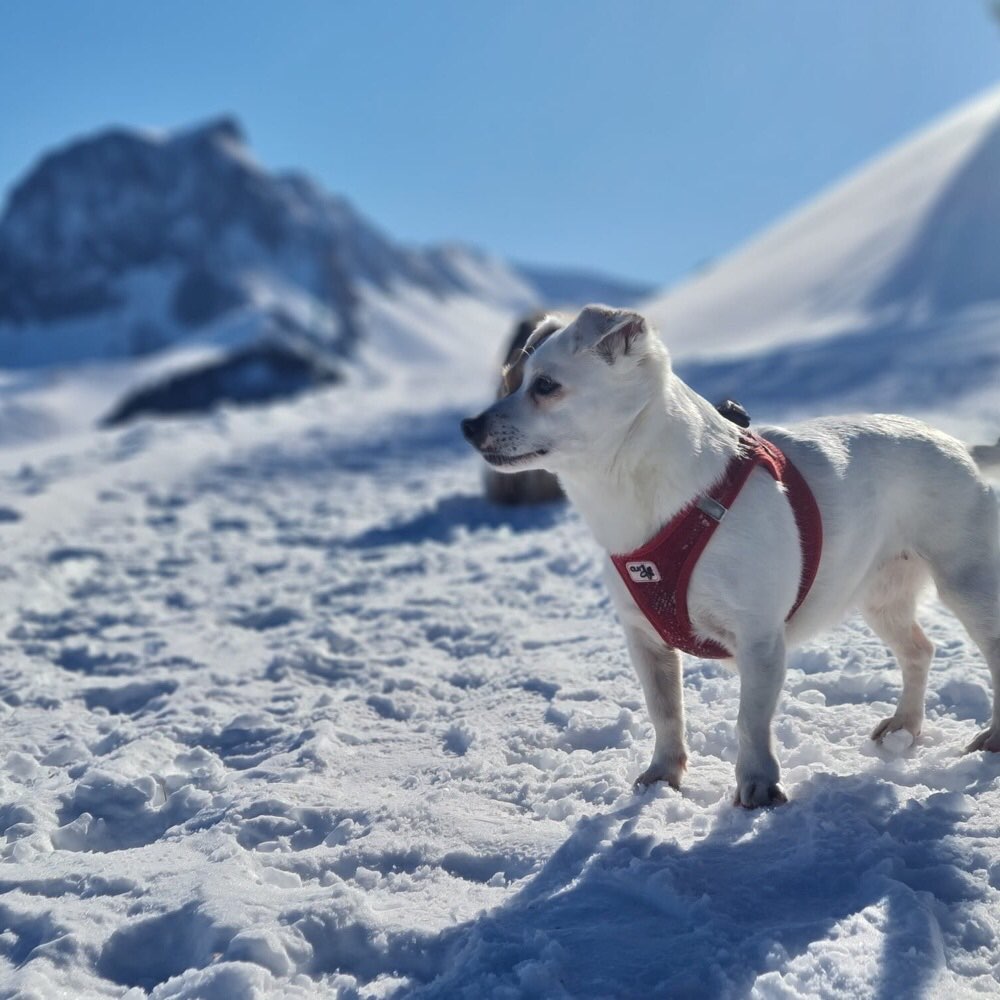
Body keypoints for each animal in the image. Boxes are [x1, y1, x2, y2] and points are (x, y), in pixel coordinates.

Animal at [460, 302, 1000, 804]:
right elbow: (666, 713)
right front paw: (663, 776)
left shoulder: (759, 639)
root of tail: (962, 448)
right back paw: (904, 726)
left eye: (545, 386)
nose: (467, 425)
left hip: (969, 587)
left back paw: (990, 738)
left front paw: (757, 785)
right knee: (919, 651)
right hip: (881, 598)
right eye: (510, 382)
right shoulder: (644, 639)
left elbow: (749, 720)